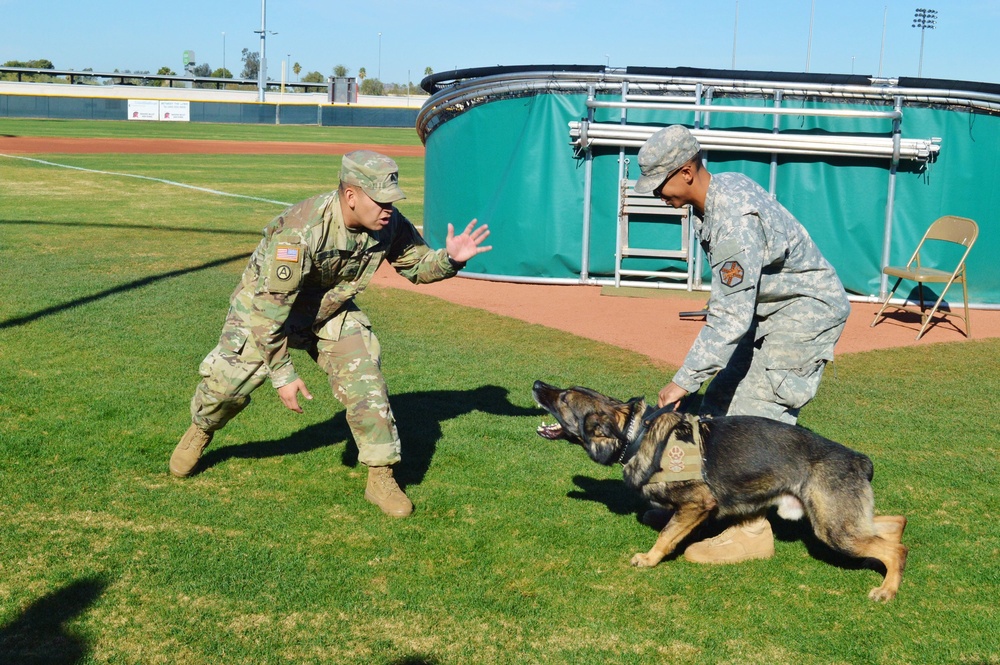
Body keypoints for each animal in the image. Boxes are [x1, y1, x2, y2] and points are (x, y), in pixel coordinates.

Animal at [536, 378, 912, 600]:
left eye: (565, 399)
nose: (538, 383)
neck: (637, 434)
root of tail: (859, 460)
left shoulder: (699, 503)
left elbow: (667, 535)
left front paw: (649, 559)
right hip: (837, 520)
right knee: (895, 524)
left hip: (833, 528)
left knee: (897, 549)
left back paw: (887, 589)